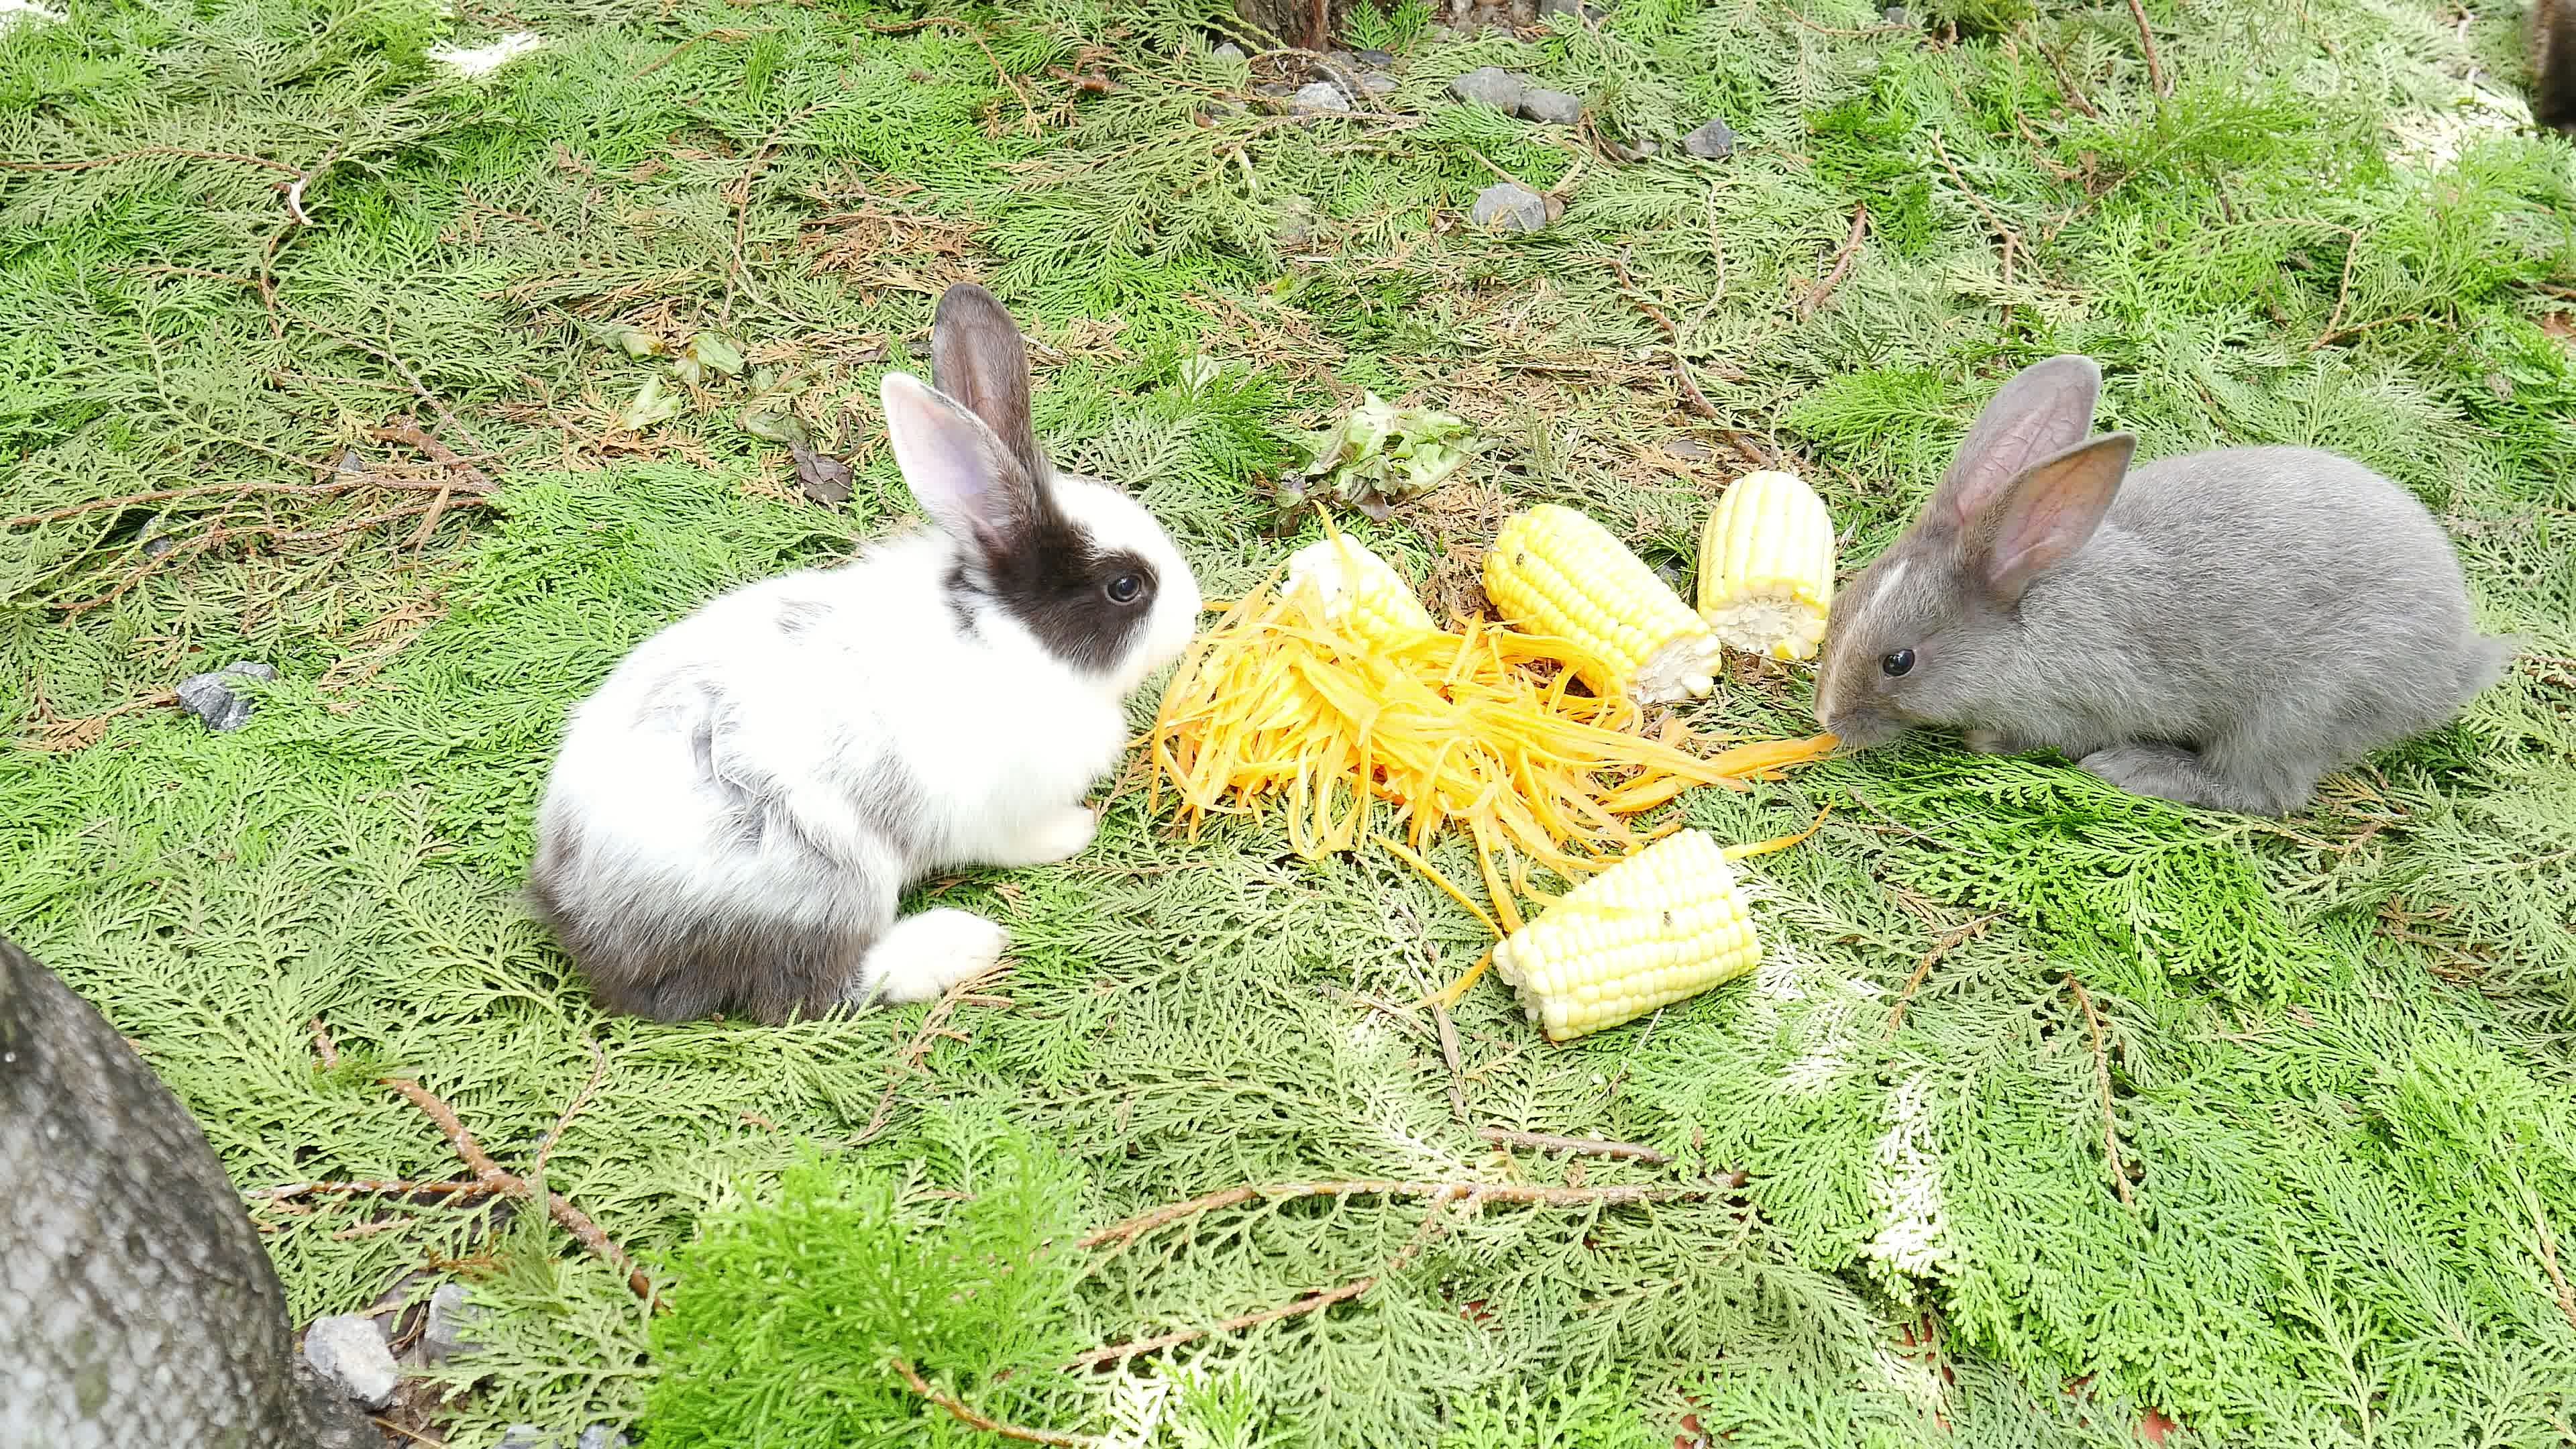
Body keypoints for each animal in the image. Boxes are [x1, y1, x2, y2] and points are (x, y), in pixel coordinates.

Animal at [527, 283, 1203, 1024]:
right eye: (1125, 587)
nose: (1195, 613)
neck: (1007, 635)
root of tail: (583, 921)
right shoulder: (1000, 810)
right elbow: (1018, 840)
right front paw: (1074, 832)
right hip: (826, 880)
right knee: (815, 989)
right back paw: (959, 944)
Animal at [1813, 355, 2514, 818]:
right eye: (1840, 605)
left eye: (1899, 662)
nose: (1827, 719)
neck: (2027, 619)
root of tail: (2450, 668)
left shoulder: (2077, 704)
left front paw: (1983, 741)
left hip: (2297, 708)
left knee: (2263, 790)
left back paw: (2135, 769)